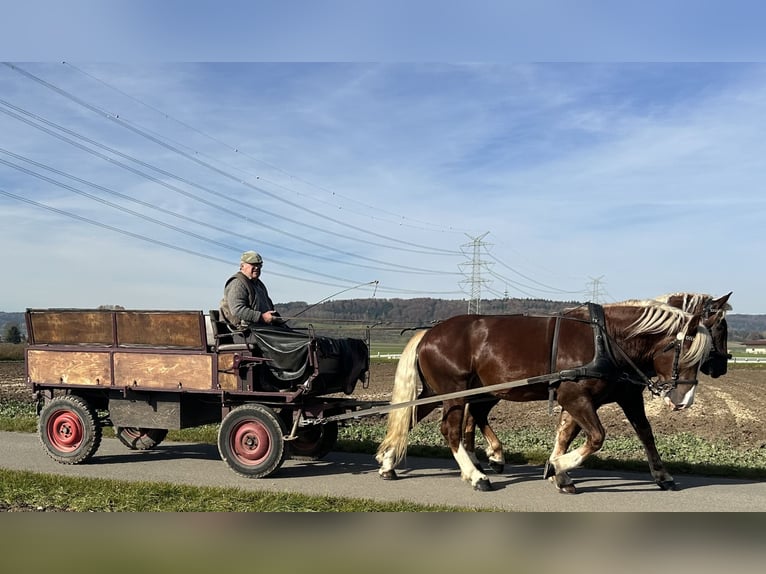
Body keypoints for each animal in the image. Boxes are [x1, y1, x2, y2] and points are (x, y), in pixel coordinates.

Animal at [375, 300, 711, 492]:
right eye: (684, 350)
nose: (683, 401)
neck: (606, 340)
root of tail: (429, 333)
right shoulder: (575, 396)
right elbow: (596, 437)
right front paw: (559, 467)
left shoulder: (619, 397)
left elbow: (642, 433)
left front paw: (662, 476)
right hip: (455, 392)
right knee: (450, 430)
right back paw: (476, 476)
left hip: (439, 392)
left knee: (411, 419)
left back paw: (389, 463)